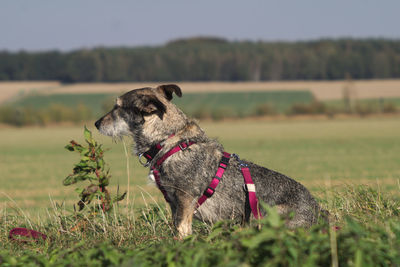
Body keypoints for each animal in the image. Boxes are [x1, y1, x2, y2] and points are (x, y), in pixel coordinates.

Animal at [95, 85, 326, 238]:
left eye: (117, 107)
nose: (96, 124)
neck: (168, 141)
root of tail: (319, 213)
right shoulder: (174, 203)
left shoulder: (185, 200)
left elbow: (182, 231)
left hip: (267, 216)